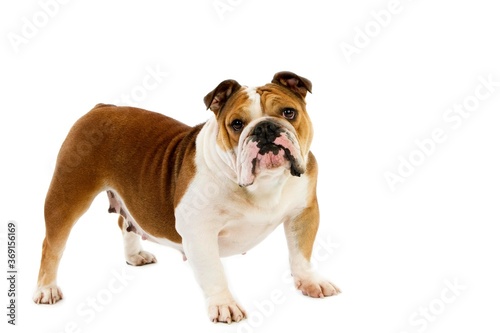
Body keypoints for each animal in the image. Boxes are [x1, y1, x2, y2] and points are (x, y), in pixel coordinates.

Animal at [33, 70, 342, 322]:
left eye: (289, 113)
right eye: (237, 124)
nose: (265, 127)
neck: (262, 184)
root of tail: (101, 108)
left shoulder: (303, 212)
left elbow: (300, 253)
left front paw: (311, 282)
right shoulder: (198, 231)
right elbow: (214, 271)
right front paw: (225, 305)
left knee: (125, 221)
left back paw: (134, 256)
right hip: (67, 195)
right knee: (52, 245)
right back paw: (46, 289)